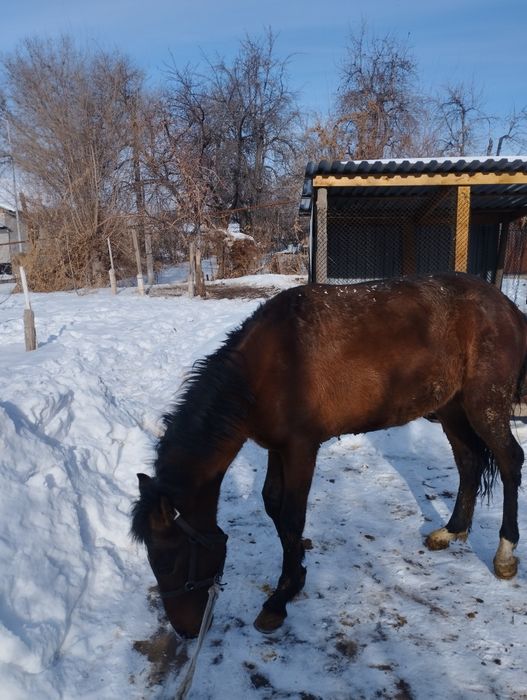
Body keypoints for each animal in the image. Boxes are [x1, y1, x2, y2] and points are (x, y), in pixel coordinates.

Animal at [131, 272, 527, 638]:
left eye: (168, 563)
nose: (186, 631)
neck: (270, 365)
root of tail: (507, 307)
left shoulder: (302, 449)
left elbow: (292, 517)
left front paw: (280, 599)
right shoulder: (278, 448)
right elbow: (272, 504)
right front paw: (297, 576)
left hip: (484, 405)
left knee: (510, 461)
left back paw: (505, 554)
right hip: (451, 408)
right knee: (469, 461)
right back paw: (451, 530)